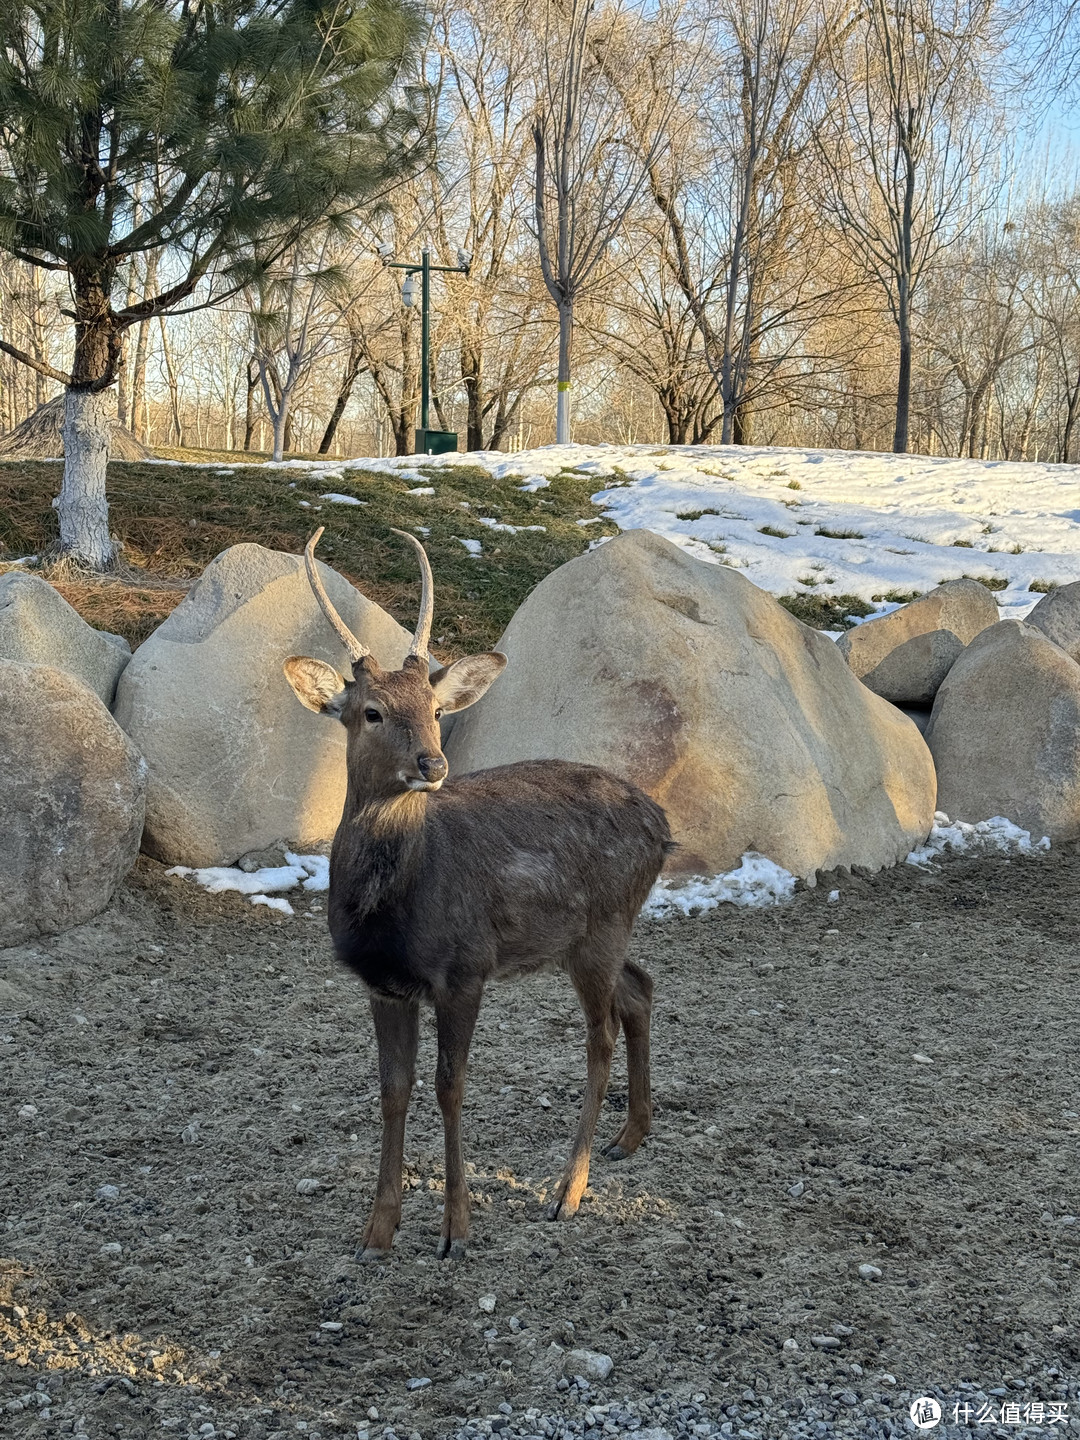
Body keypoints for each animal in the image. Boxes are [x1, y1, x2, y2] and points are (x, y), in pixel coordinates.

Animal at [280, 529, 668, 1261]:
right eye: (371, 711)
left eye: (436, 711)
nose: (432, 764)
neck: (393, 911)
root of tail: (663, 827)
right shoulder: (383, 983)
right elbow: (393, 1091)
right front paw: (376, 1232)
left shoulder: (464, 969)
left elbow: (450, 1087)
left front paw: (456, 1230)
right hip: (589, 935)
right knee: (641, 985)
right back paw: (630, 1137)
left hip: (602, 925)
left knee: (600, 1033)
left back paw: (568, 1190)